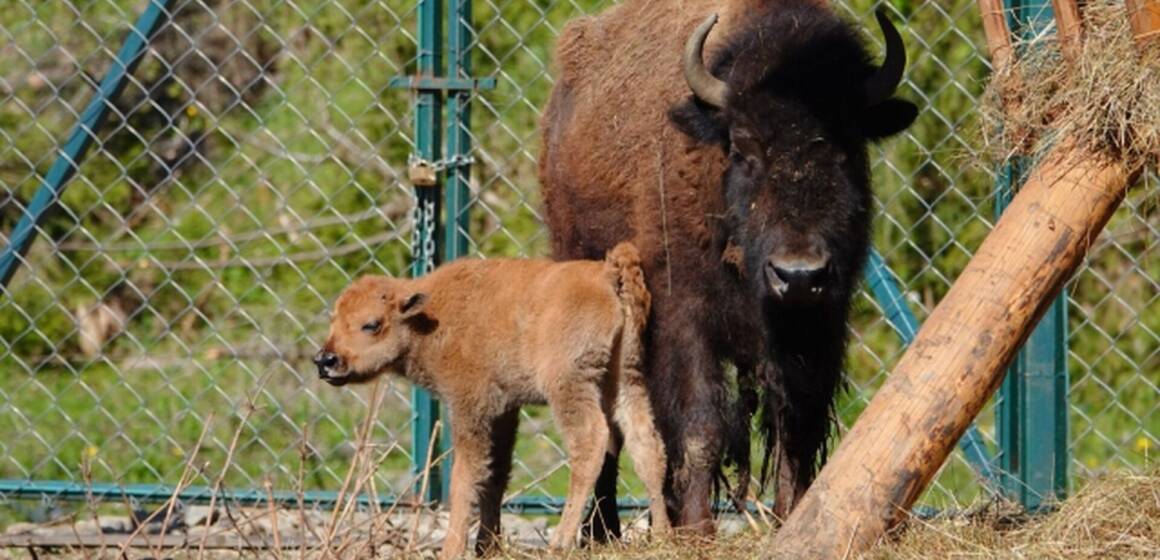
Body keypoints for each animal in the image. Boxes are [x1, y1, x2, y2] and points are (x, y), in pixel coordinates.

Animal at [315, 243, 672, 558]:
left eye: (371, 324)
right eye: (332, 320)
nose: (325, 361)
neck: (430, 316)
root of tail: (607, 273)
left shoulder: (469, 405)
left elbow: (464, 478)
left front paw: (453, 550)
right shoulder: (504, 411)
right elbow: (495, 475)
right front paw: (487, 547)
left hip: (569, 384)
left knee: (591, 441)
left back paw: (559, 542)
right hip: (626, 377)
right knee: (646, 445)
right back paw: (663, 536)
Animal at [538, 0, 918, 535]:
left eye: (847, 146)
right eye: (742, 148)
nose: (798, 274)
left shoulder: (818, 326)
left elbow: (795, 426)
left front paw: (789, 516)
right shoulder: (684, 320)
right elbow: (702, 425)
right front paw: (698, 530)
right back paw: (603, 528)